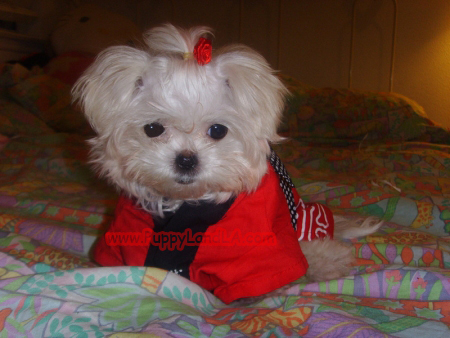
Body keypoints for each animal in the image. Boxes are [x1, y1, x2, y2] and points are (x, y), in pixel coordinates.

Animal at [72, 23, 382, 304]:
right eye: (153, 129)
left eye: (218, 131)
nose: (186, 160)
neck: (187, 203)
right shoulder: (128, 231)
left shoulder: (256, 238)